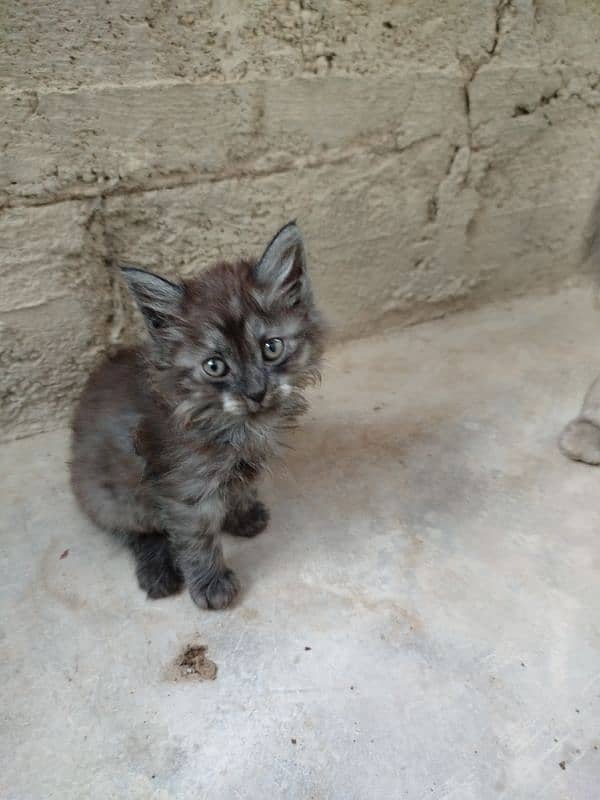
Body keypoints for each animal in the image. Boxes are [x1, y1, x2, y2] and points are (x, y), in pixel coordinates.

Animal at [71, 222, 326, 608]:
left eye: (271, 348)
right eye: (215, 366)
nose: (256, 392)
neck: (234, 424)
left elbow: (239, 486)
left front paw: (242, 514)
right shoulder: (183, 488)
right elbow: (197, 538)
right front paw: (211, 583)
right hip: (112, 496)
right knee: (137, 532)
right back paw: (158, 572)